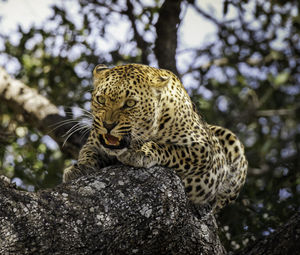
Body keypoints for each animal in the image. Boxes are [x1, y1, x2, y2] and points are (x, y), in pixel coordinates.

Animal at [62, 63, 246, 211]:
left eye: (130, 103)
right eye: (101, 99)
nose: (108, 125)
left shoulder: (203, 149)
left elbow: (171, 149)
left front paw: (141, 152)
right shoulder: (95, 143)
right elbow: (88, 152)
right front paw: (79, 168)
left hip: (231, 141)